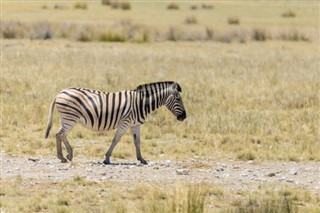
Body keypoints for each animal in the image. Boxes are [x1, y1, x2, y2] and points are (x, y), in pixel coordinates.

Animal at [43, 81, 186, 165]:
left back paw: (65, 156)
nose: (184, 117)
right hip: (70, 118)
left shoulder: (136, 124)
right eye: (178, 99)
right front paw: (106, 158)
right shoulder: (125, 122)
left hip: (67, 118)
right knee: (60, 134)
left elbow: (137, 141)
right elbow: (115, 140)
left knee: (60, 135)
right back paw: (64, 156)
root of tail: (60, 93)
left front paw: (141, 159)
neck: (141, 103)